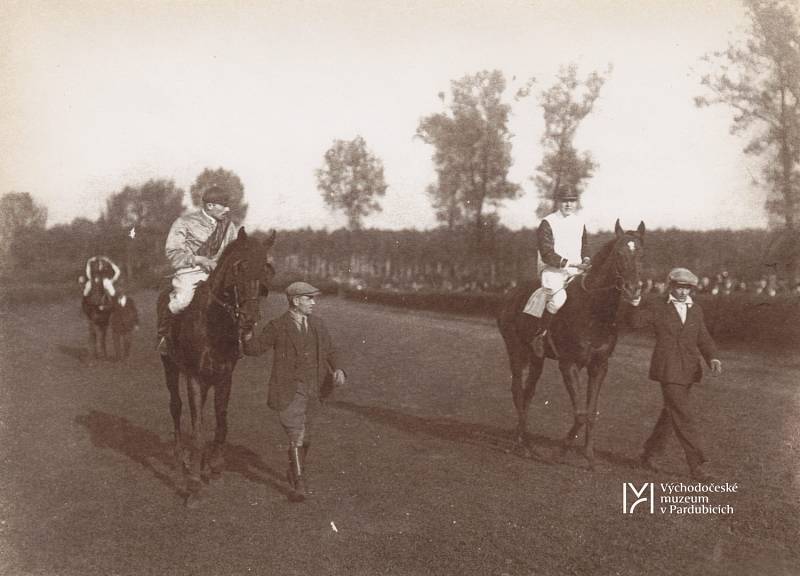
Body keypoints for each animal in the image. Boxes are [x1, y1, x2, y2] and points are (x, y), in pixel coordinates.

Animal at [161, 227, 276, 506]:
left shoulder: (224, 376)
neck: (214, 324)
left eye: (266, 268)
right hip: (169, 366)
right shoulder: (194, 377)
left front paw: (213, 465)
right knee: (176, 407)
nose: (249, 319)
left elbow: (221, 423)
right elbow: (198, 429)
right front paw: (193, 483)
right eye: (240, 266)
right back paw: (180, 457)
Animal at [496, 219, 648, 468]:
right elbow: (580, 414)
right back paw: (522, 444)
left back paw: (523, 442)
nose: (633, 290)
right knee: (517, 391)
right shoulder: (569, 364)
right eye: (619, 253)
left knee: (528, 393)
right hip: (515, 349)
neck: (593, 310)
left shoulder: (599, 366)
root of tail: (511, 294)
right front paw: (560, 452)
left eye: (642, 254)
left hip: (536, 358)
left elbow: (591, 412)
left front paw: (589, 457)